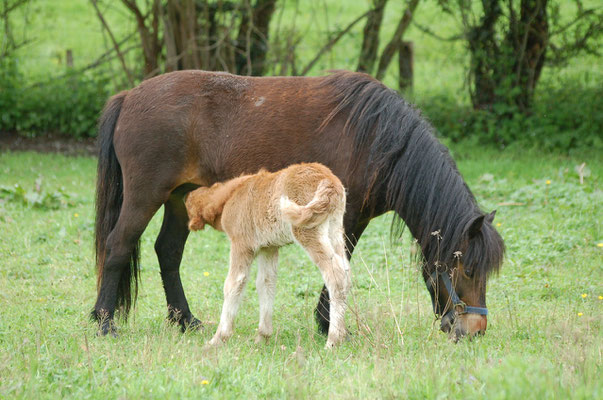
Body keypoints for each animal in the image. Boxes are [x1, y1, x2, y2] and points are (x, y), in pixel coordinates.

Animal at [186, 162, 352, 346]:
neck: (231, 196)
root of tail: (328, 179)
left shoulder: (241, 244)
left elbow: (234, 283)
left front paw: (218, 338)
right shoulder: (269, 247)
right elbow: (266, 283)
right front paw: (262, 337)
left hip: (308, 230)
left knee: (335, 275)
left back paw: (332, 341)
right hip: (335, 230)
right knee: (345, 271)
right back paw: (342, 335)